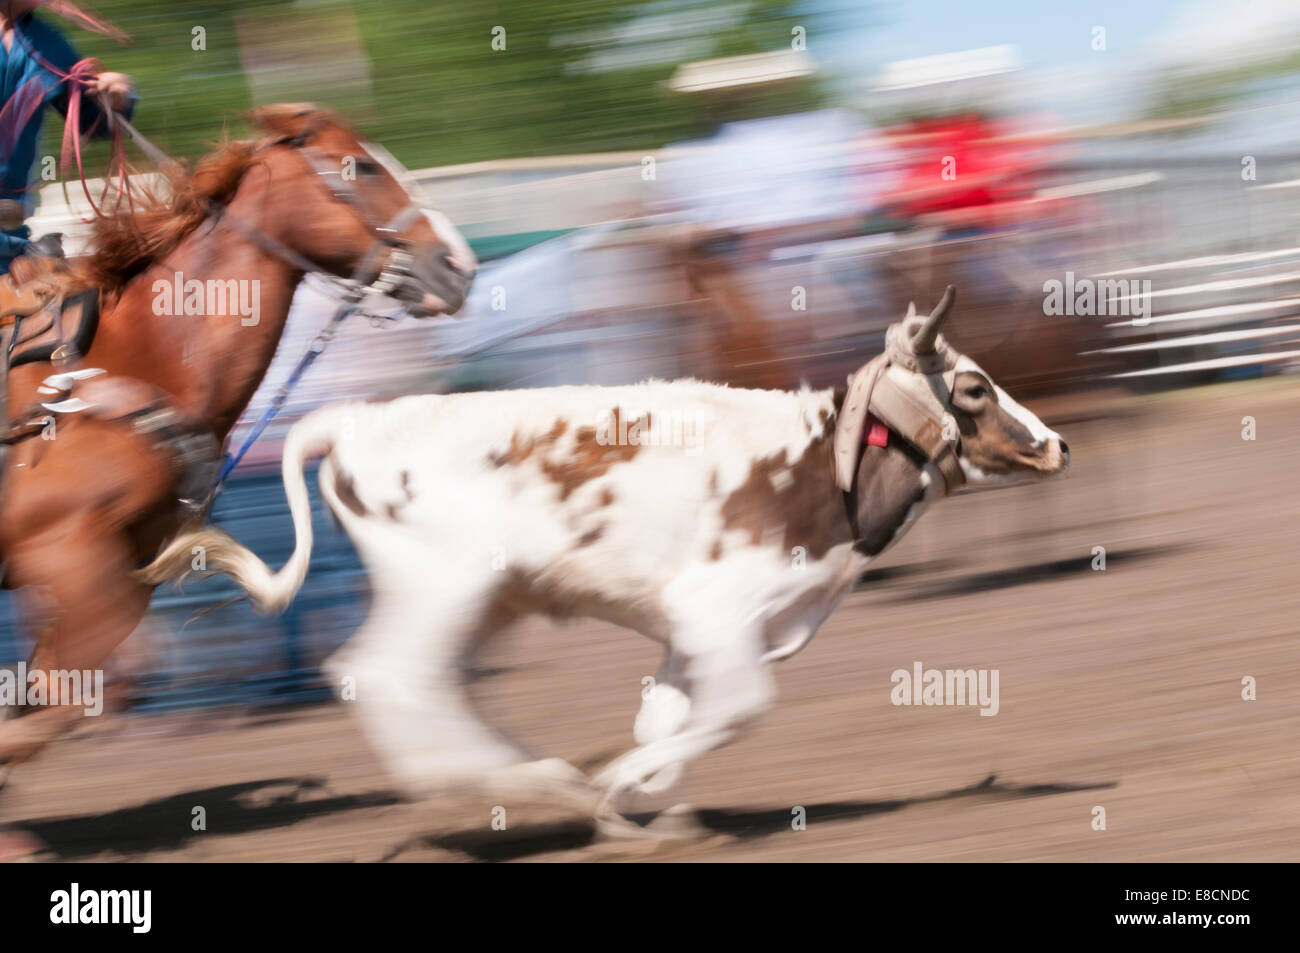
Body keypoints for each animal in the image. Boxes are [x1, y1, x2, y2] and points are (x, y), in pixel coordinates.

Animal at [0, 103, 475, 844]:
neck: (130, 362)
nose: (458, 265)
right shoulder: (65, 554)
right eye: (362, 167)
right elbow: (75, 689)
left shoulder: (118, 568)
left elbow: (67, 685)